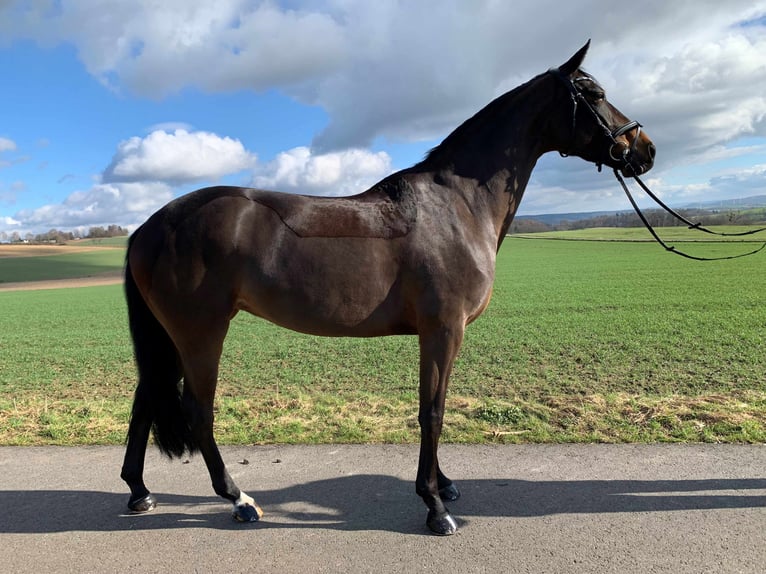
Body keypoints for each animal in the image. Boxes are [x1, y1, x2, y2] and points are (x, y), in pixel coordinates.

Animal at [120, 41, 656, 540]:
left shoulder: (440, 335)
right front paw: (435, 507)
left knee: (146, 397)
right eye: (594, 94)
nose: (645, 150)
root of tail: (150, 226)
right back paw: (238, 499)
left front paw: (444, 485)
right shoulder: (443, 331)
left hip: (171, 338)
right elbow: (432, 411)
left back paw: (140, 492)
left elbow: (436, 407)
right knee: (198, 411)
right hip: (200, 334)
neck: (458, 206)